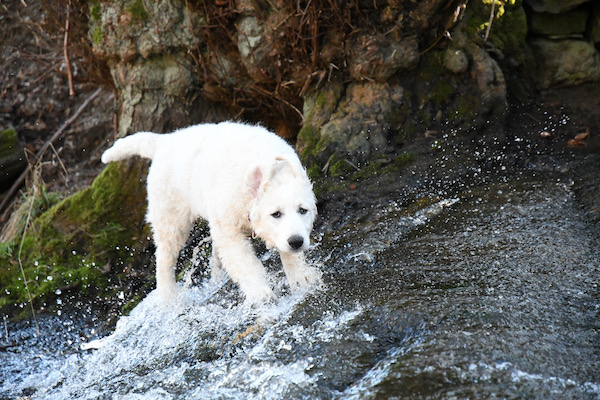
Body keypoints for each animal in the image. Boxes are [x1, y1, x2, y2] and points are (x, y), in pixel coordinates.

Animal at [101, 122, 322, 304]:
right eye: (275, 214)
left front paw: (301, 278)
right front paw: (260, 293)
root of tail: (166, 141)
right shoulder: (229, 228)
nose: (296, 242)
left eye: (303, 211)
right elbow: (245, 262)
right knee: (165, 256)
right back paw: (169, 298)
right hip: (170, 214)